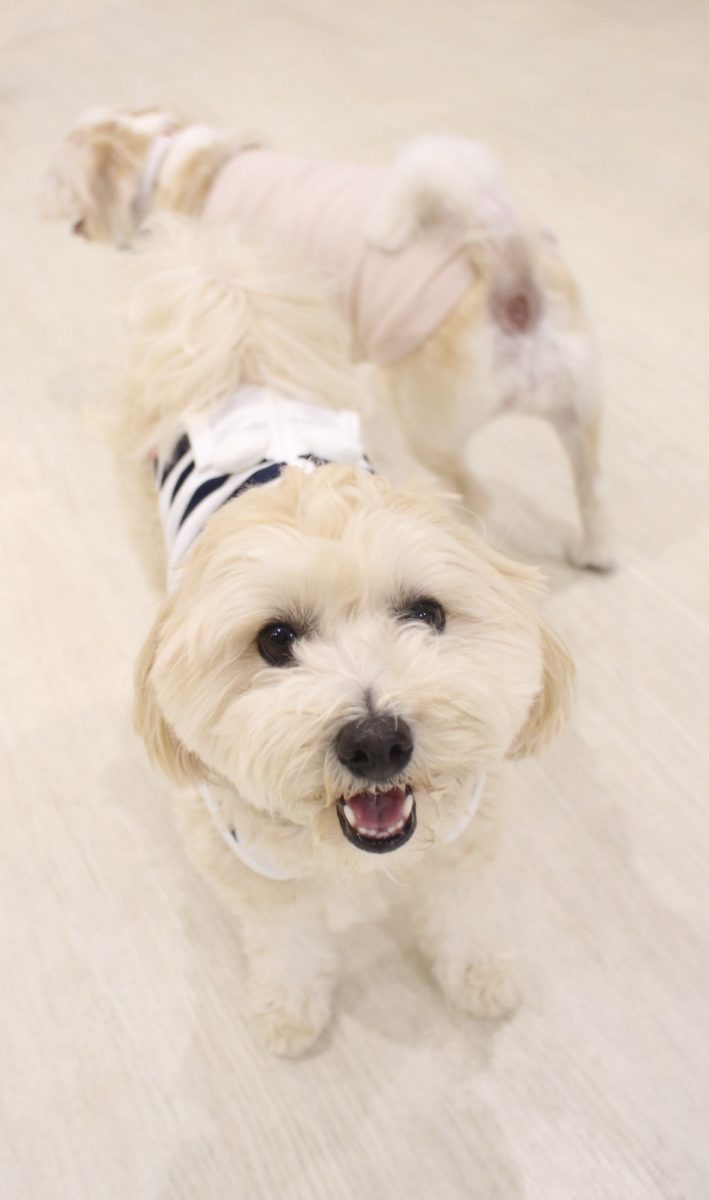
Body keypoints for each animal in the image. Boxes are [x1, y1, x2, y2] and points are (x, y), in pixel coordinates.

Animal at [42, 106, 615, 572]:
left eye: (57, 176)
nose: (39, 198)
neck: (163, 162)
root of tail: (510, 275)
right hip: (578, 411)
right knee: (591, 490)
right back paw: (593, 552)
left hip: (424, 425)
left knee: (476, 494)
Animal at [109, 218, 574, 1055]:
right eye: (273, 640)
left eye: (425, 613)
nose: (377, 742)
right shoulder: (250, 871)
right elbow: (286, 945)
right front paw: (291, 1014)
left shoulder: (465, 834)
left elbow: (462, 913)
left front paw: (479, 980)